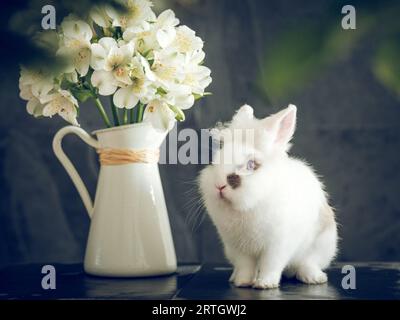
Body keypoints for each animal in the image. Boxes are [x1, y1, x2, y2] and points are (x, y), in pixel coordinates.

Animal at [199, 104, 338, 288]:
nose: (219, 186)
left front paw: (264, 284)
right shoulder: (238, 248)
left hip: (321, 244)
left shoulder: (277, 245)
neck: (250, 205)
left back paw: (314, 278)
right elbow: (245, 266)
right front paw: (242, 283)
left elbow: (270, 265)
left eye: (251, 165)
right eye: (216, 159)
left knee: (308, 263)